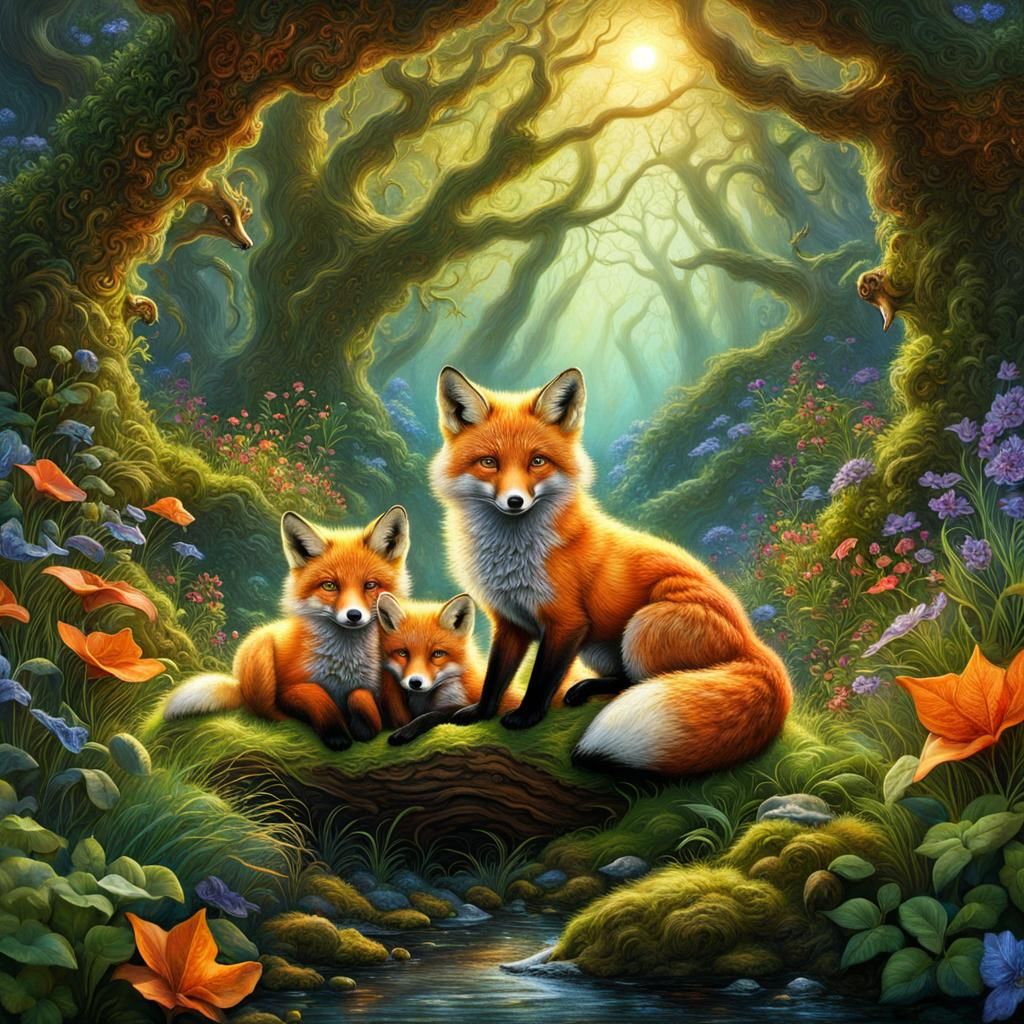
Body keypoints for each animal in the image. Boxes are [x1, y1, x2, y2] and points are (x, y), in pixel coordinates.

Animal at [163, 506, 410, 750]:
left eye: (370, 585)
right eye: (330, 586)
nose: (354, 615)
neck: (344, 670)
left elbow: (364, 701)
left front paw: (361, 725)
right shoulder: (289, 689)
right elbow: (313, 694)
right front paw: (336, 733)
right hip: (260, 651)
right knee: (264, 711)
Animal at [422, 365, 792, 777]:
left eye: (537, 461)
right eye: (489, 462)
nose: (515, 501)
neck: (513, 556)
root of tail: (753, 641)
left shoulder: (566, 622)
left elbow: (541, 679)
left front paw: (527, 717)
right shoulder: (510, 621)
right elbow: (495, 678)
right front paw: (478, 714)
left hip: (644, 626)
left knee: (644, 682)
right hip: (602, 648)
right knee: (625, 679)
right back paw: (586, 690)